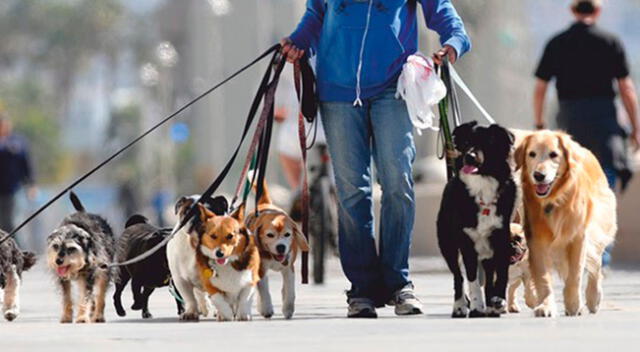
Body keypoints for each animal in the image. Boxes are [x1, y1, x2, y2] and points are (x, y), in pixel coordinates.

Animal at [245, 183, 308, 320]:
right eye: (270, 235)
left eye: (287, 234)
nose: (281, 247)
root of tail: (265, 204)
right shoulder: (261, 269)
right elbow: (264, 291)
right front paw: (267, 309)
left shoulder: (289, 268)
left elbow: (290, 291)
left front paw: (288, 309)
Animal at [438, 121, 516, 320]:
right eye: (466, 142)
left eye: (487, 143)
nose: (469, 157)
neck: (482, 186)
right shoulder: (466, 242)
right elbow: (472, 279)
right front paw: (476, 306)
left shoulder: (502, 239)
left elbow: (501, 275)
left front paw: (498, 301)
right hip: (447, 244)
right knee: (458, 277)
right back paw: (459, 307)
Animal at [516, 131, 616, 318]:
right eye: (531, 154)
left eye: (553, 154)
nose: (538, 175)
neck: (554, 199)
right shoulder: (536, 239)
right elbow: (543, 277)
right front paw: (546, 305)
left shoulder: (578, 236)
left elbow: (575, 274)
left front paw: (574, 305)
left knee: (596, 264)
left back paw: (593, 298)